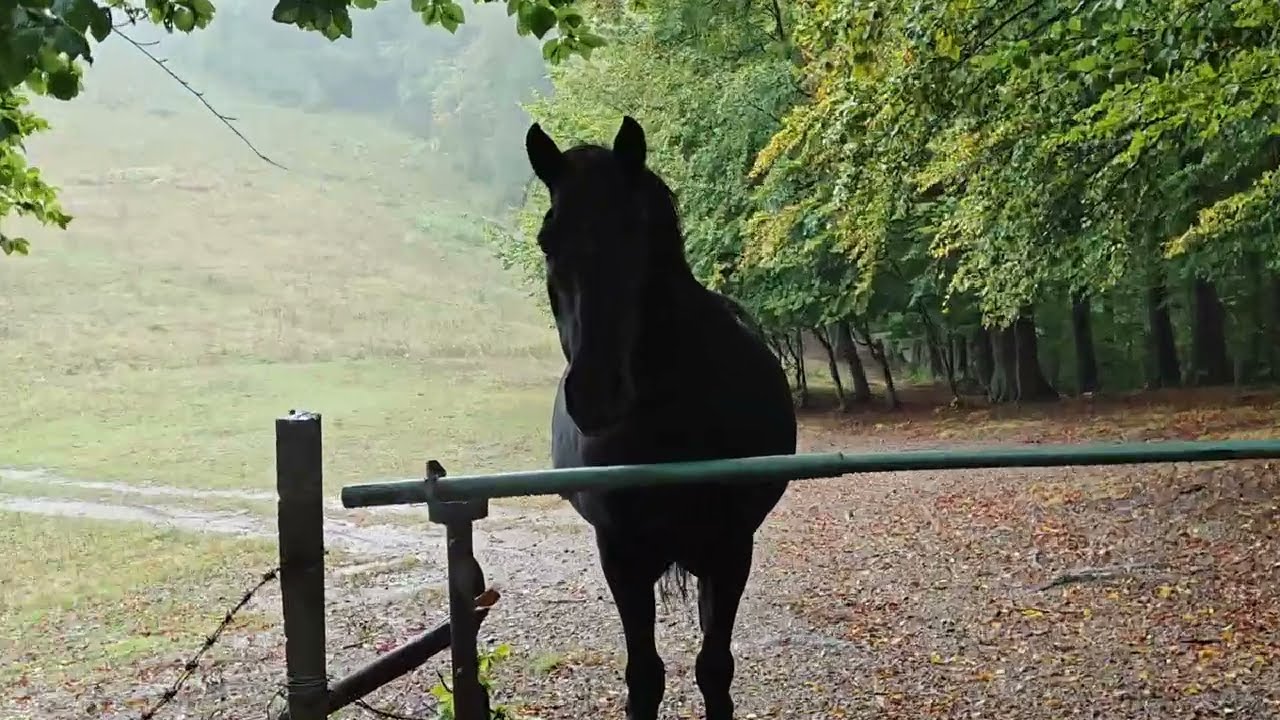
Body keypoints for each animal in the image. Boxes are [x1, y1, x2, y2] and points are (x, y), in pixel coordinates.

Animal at [525, 115, 797, 720]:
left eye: (638, 230)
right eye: (547, 240)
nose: (595, 393)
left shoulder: (730, 550)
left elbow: (714, 668)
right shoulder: (622, 556)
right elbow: (644, 677)